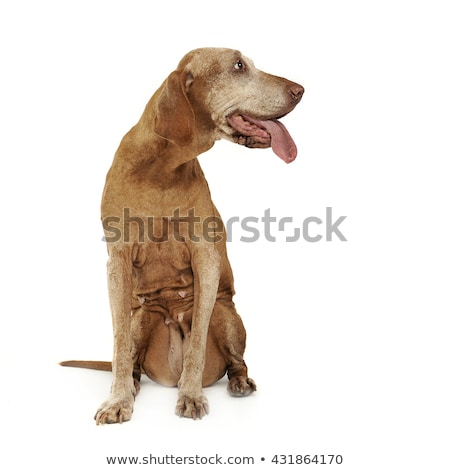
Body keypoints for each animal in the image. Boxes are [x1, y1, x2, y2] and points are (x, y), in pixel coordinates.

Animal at [61, 46, 304, 422]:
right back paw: (133, 383)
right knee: (133, 358)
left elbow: (197, 341)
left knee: (236, 360)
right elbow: (118, 343)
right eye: (238, 65)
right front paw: (118, 400)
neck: (162, 168)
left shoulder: (205, 259)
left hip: (226, 313)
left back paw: (239, 382)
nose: (300, 90)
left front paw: (190, 395)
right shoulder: (117, 263)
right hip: (142, 317)